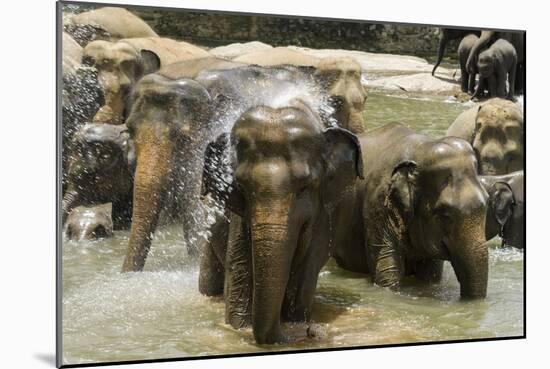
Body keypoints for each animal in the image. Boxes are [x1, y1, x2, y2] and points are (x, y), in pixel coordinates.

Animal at [201, 99, 364, 344]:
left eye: (305, 186)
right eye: (241, 187)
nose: (310, 332)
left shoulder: (323, 213)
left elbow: (304, 273)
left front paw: (294, 322)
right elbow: (239, 273)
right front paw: (240, 326)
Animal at [332, 123, 492, 300]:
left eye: (487, 203)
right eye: (444, 214)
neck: (421, 149)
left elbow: (430, 275)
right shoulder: (377, 204)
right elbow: (387, 271)